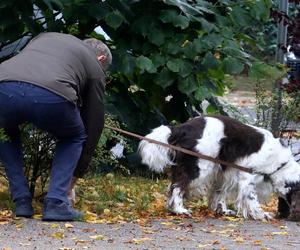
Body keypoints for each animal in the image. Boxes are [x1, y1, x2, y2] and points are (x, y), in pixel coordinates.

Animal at [138, 114, 300, 220]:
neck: (280, 164)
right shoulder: (247, 176)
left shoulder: (224, 173)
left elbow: (219, 192)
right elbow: (252, 199)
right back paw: (179, 210)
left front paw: (222, 211)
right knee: (178, 186)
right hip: (198, 168)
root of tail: (182, 127)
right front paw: (261, 214)